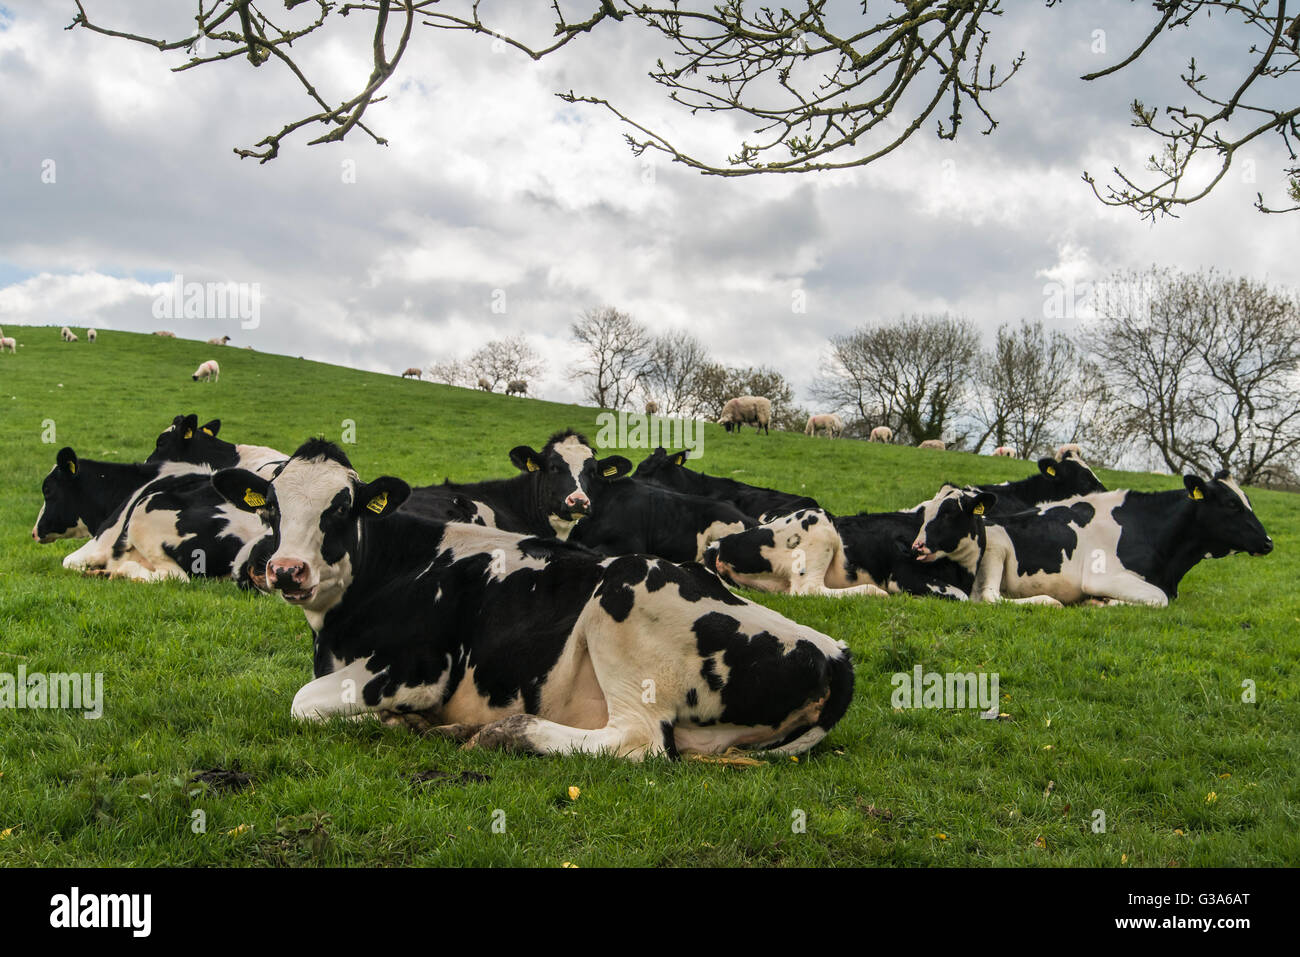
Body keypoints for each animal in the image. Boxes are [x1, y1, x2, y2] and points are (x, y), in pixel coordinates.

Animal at [706, 492, 992, 600]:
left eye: (948, 513)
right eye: (927, 514)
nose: (916, 547)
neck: (962, 569)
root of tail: (721, 543)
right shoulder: (903, 575)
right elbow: (962, 596)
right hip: (818, 526)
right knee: (809, 589)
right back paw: (872, 592)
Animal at [911, 473, 1273, 607]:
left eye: (1247, 500)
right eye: (1231, 504)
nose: (1269, 542)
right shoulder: (1104, 577)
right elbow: (1158, 599)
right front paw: (1102, 603)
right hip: (997, 549)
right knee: (989, 597)